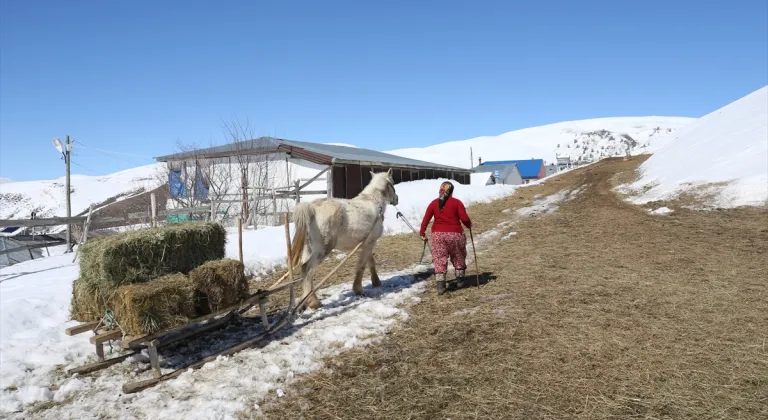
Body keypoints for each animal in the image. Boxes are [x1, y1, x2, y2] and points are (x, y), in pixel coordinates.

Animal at [288, 169, 396, 310]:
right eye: (393, 183)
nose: (396, 199)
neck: (374, 202)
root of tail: (312, 209)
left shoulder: (366, 244)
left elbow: (370, 262)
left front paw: (376, 281)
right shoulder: (370, 242)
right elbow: (362, 265)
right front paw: (358, 289)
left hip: (308, 249)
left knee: (304, 272)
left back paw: (303, 301)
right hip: (321, 251)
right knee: (307, 269)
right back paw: (314, 302)